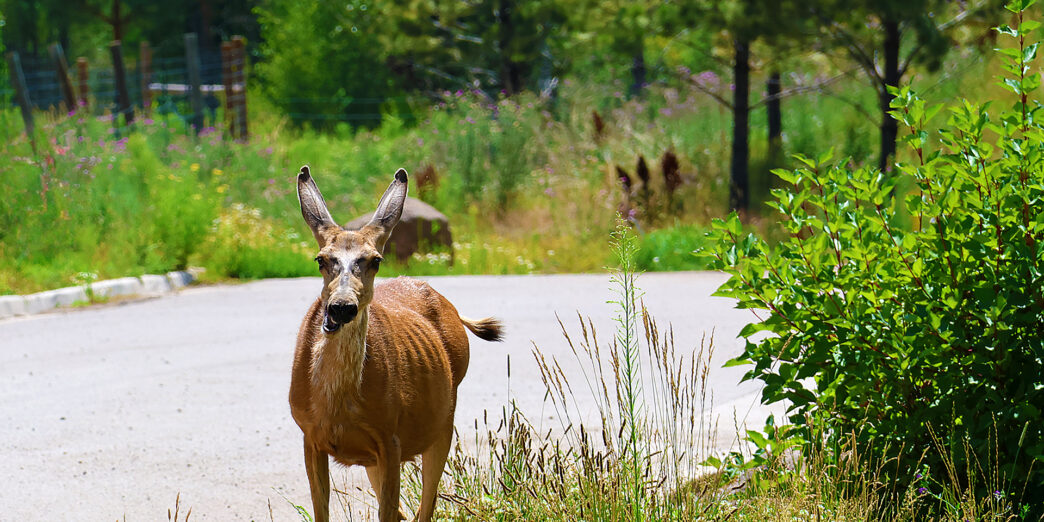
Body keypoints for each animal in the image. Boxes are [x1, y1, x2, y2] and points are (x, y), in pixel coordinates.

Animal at [289, 166, 504, 522]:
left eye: (375, 260)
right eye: (321, 259)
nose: (341, 307)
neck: (335, 405)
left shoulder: (390, 438)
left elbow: (392, 511)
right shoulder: (311, 437)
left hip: (442, 420)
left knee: (425, 504)